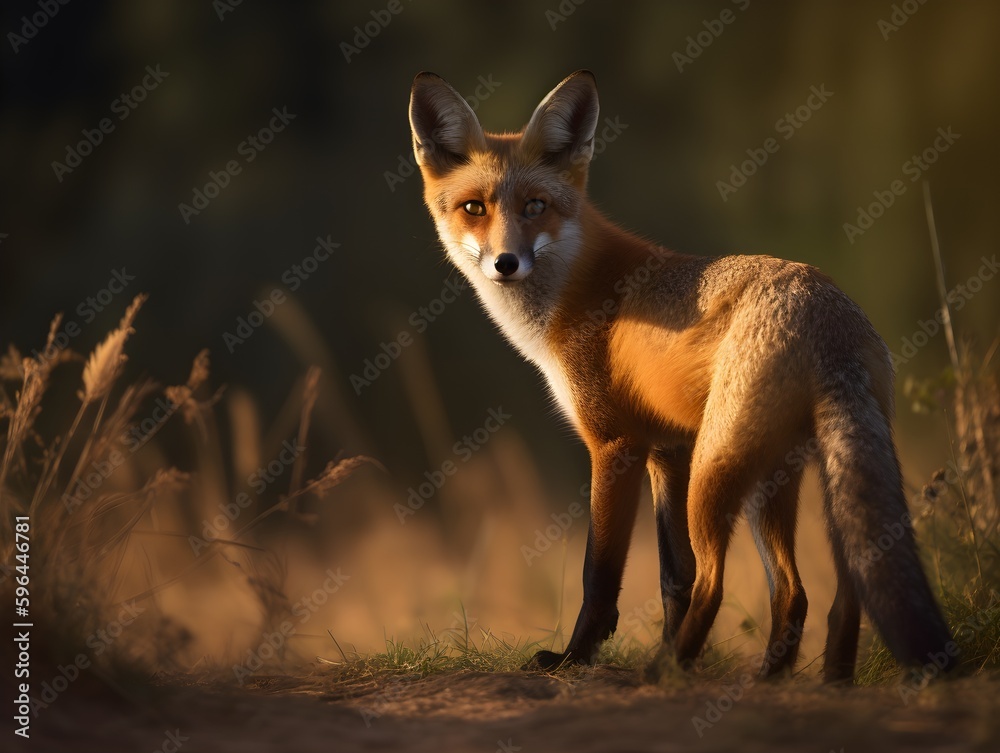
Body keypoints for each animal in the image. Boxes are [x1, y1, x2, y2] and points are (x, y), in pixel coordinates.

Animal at [408, 69, 957, 681]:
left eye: (534, 206)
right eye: (474, 207)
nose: (506, 263)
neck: (576, 290)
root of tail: (825, 308)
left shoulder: (615, 446)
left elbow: (602, 575)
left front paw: (575, 657)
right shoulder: (666, 450)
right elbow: (675, 577)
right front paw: (661, 647)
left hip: (717, 474)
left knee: (723, 583)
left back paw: (668, 670)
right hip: (791, 480)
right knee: (816, 591)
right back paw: (803, 679)